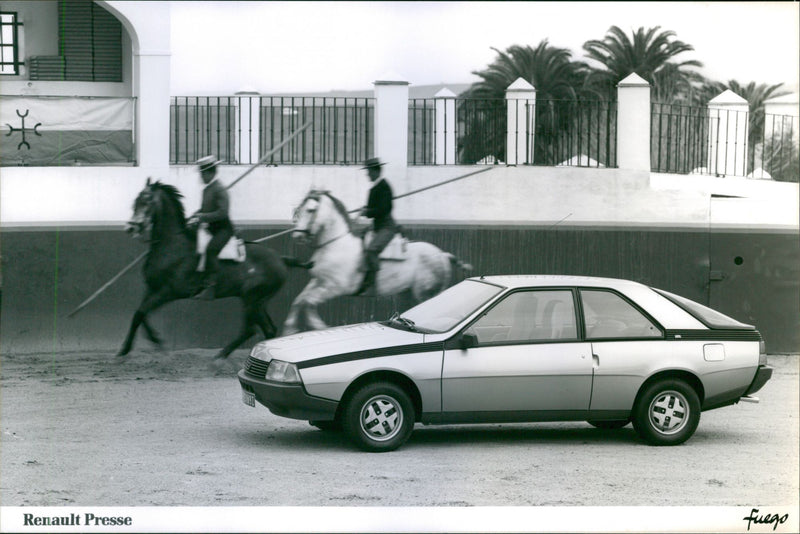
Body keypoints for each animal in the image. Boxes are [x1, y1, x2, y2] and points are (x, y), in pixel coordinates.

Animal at [120, 179, 290, 360]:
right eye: (135, 201)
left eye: (146, 201)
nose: (131, 227)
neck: (172, 245)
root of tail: (280, 259)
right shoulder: (152, 288)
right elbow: (140, 314)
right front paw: (151, 342)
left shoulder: (168, 292)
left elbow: (141, 313)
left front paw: (131, 348)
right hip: (259, 302)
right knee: (268, 330)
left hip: (251, 299)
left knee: (250, 330)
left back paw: (220, 357)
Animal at [282, 189, 472, 336]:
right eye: (299, 210)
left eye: (311, 210)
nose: (297, 236)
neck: (335, 243)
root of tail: (442, 255)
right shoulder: (318, 281)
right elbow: (299, 300)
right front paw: (289, 330)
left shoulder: (333, 287)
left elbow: (308, 302)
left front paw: (319, 327)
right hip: (407, 294)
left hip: (426, 294)